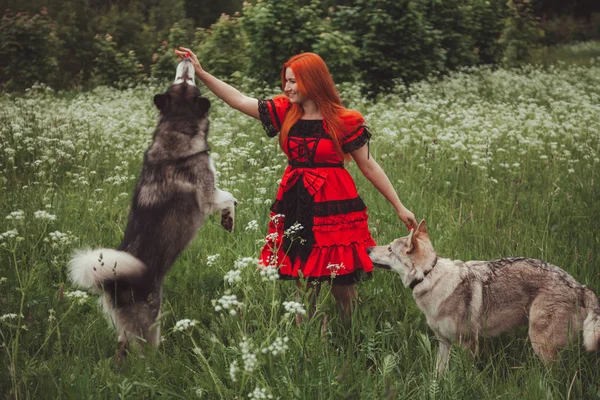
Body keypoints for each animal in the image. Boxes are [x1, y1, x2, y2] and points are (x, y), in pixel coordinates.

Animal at [68, 57, 237, 354]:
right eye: (184, 80)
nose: (186, 59)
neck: (176, 125)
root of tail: (112, 284)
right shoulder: (207, 195)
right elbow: (229, 196)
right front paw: (229, 217)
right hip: (149, 322)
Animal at [366, 220, 600, 374]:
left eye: (389, 248)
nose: (368, 248)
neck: (429, 275)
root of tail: (578, 286)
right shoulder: (443, 342)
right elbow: (439, 374)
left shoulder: (468, 344)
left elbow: (464, 376)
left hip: (541, 343)